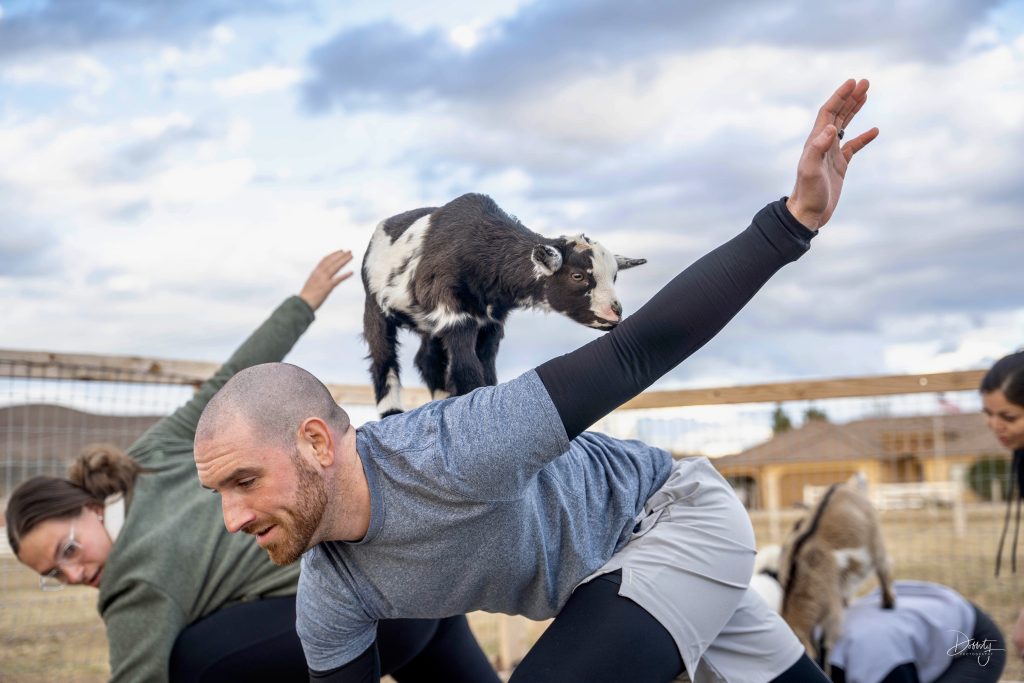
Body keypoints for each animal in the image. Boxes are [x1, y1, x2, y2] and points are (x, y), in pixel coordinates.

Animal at [364, 192, 643, 417]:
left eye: (614, 276)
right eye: (578, 276)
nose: (616, 312)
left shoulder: (491, 324)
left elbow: (486, 370)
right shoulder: (455, 315)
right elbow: (467, 368)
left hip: (427, 326)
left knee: (428, 360)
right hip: (375, 306)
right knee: (384, 359)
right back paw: (391, 412)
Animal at [778, 475, 892, 667]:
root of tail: (845, 486)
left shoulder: (831, 613)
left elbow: (826, 645)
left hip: (876, 538)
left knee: (883, 567)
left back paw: (889, 603)